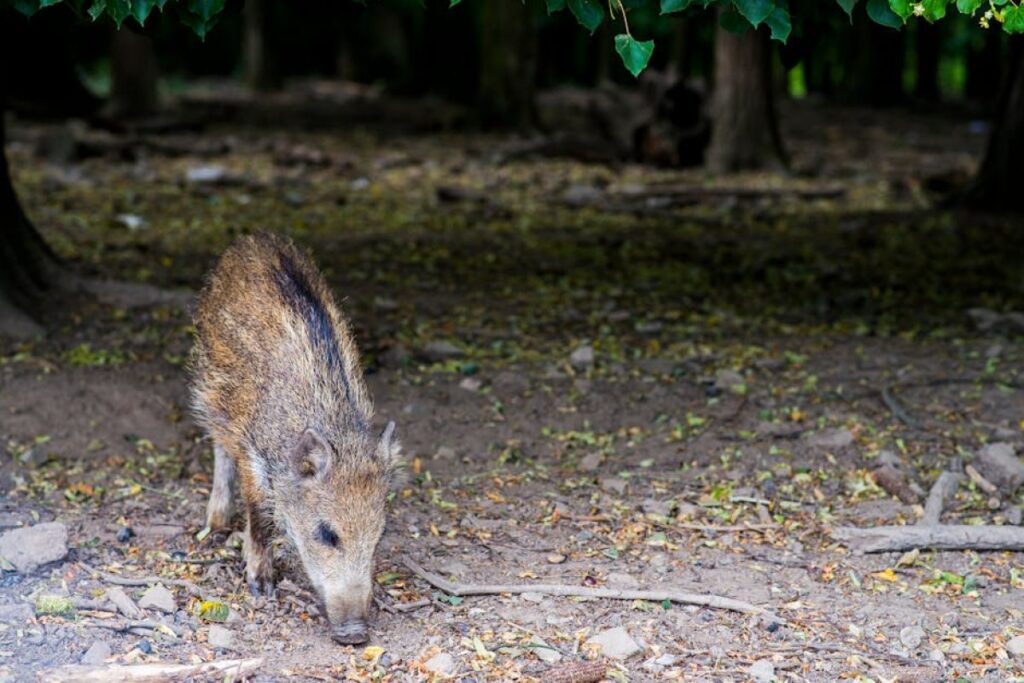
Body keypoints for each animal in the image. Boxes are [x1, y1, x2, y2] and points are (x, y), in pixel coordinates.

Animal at [190, 232, 400, 645]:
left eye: (380, 533)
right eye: (326, 533)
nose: (356, 634)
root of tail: (253, 239)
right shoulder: (252, 452)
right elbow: (260, 517)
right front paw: (261, 585)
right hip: (210, 384)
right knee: (218, 445)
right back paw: (218, 524)